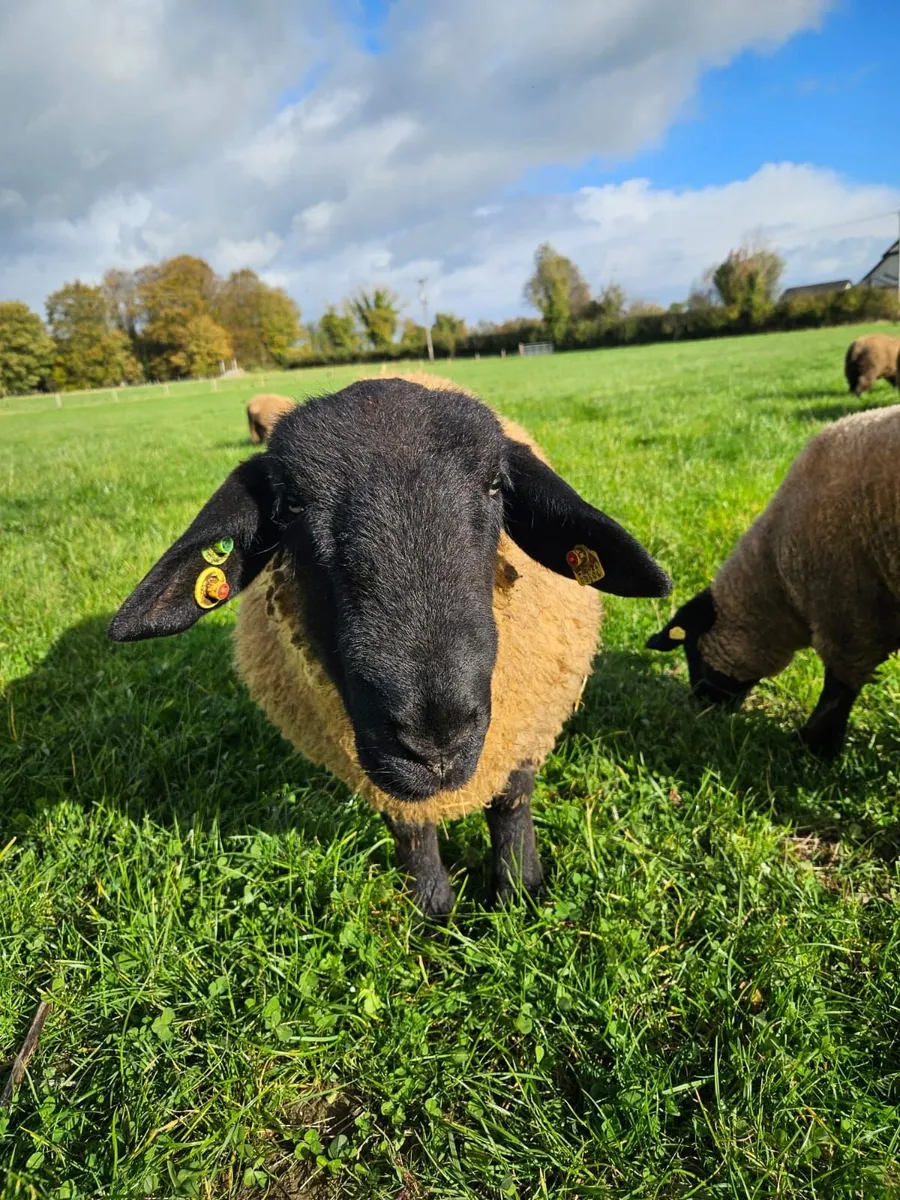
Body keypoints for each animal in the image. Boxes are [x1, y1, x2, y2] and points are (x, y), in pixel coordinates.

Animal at [108, 374, 671, 917]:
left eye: (495, 486)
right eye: (291, 505)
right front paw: (432, 912)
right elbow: (410, 829)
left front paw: (519, 892)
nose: (436, 738)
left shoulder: (526, 725)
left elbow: (511, 802)